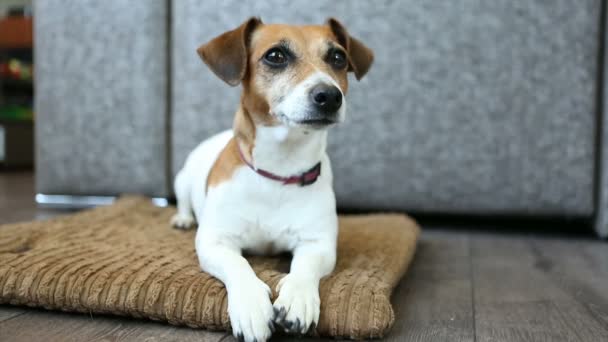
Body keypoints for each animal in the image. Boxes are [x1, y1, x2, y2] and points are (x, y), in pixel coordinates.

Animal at [169, 17, 372, 340]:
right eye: (275, 56)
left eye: (338, 57)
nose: (329, 96)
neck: (278, 171)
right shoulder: (215, 242)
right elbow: (238, 264)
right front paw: (251, 306)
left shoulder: (318, 244)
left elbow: (304, 269)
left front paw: (298, 299)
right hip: (183, 180)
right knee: (184, 203)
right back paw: (183, 219)